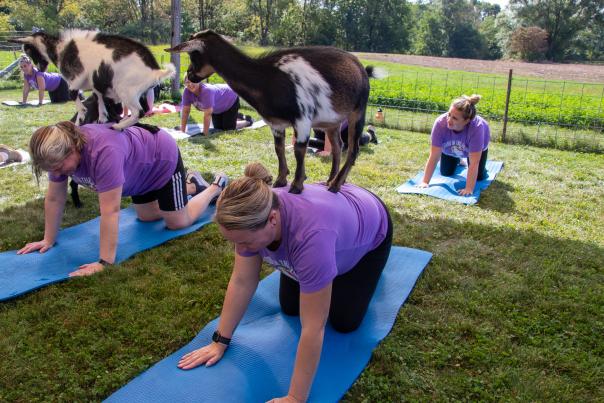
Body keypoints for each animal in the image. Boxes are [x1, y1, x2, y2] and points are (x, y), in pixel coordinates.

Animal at [10, 30, 175, 131]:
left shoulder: (77, 77)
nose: (39, 69)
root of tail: (155, 71)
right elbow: (99, 100)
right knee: (145, 110)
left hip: (125, 90)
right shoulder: (96, 84)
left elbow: (74, 96)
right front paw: (101, 118)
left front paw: (81, 117)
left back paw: (117, 126)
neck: (60, 49)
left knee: (138, 112)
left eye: (28, 49)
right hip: (145, 93)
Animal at [168, 30, 378, 194]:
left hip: (358, 111)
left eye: (193, 55)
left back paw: (336, 185)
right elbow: (279, 149)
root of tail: (360, 67)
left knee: (353, 149)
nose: (189, 76)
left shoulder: (302, 119)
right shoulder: (276, 123)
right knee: (337, 146)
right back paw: (330, 180)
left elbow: (299, 150)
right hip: (332, 121)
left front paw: (297, 185)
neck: (267, 78)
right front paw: (280, 181)